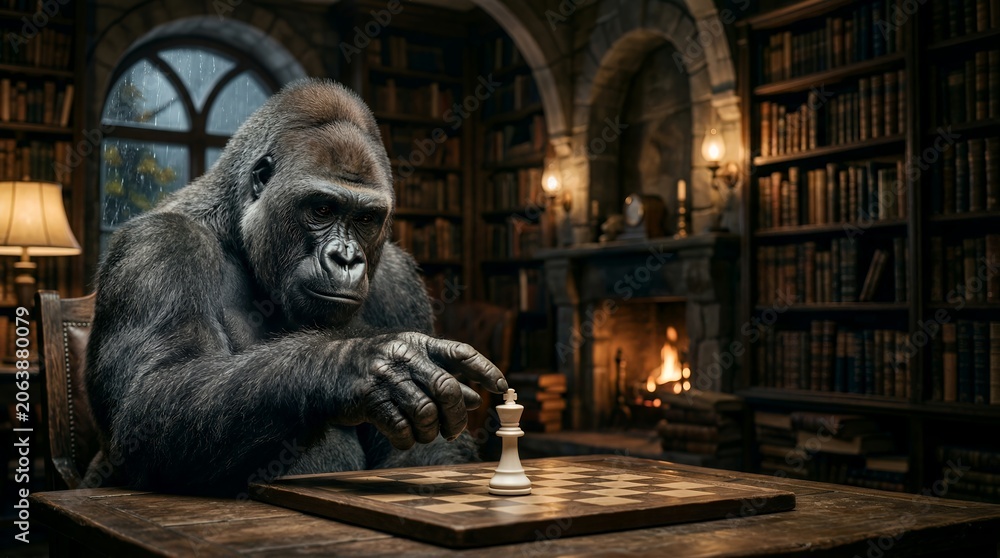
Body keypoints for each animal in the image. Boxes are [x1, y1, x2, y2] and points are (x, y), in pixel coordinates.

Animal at [83, 78, 507, 496]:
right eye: (321, 209)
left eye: (365, 218)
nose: (346, 258)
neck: (234, 231)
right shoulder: (159, 245)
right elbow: (149, 402)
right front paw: (357, 362)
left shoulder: (398, 280)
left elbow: (425, 451)